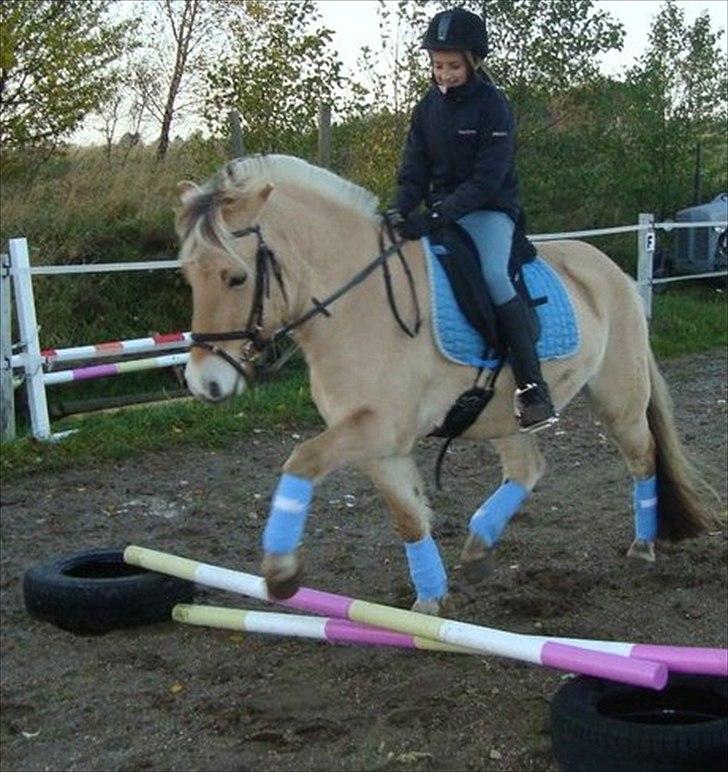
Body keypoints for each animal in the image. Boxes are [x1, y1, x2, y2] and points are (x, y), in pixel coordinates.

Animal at [178, 155, 716, 616]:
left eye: (235, 277)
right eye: (187, 275)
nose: (205, 382)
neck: (357, 305)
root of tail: (612, 271)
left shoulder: (381, 429)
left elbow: (300, 459)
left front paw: (281, 572)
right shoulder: (378, 442)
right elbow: (408, 517)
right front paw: (430, 600)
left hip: (619, 400)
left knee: (643, 458)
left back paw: (642, 545)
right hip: (505, 414)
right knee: (527, 468)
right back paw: (479, 546)